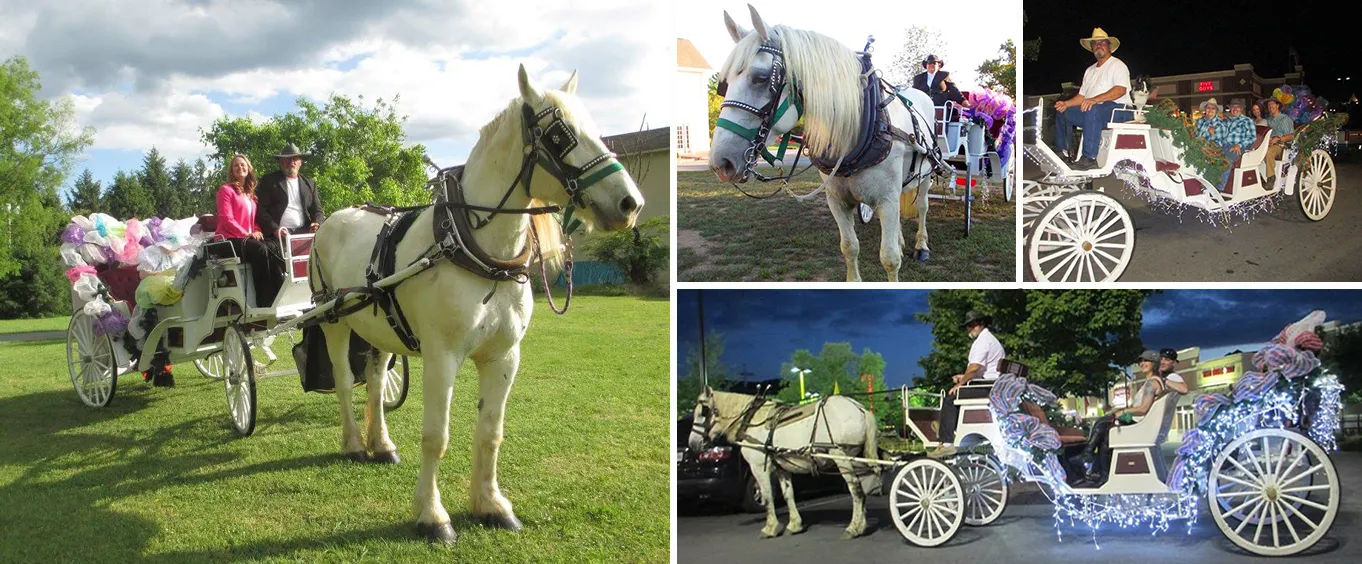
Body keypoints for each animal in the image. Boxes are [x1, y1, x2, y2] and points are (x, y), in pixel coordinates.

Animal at [309, 64, 642, 544]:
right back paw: (355, 444)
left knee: (372, 379)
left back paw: (381, 444)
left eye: (596, 127)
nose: (630, 203)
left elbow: (490, 433)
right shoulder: (441, 357)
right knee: (340, 377)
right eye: (560, 134)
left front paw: (491, 505)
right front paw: (433, 516)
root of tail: (332, 219)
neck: (473, 249)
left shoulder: (504, 357)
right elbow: (436, 436)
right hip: (332, 319)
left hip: (379, 325)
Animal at [691, 389, 882, 539]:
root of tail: (860, 408)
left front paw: (770, 528)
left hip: (840, 455)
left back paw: (853, 528)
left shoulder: (758, 467)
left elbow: (767, 496)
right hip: (855, 458)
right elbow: (788, 495)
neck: (750, 420)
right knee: (861, 489)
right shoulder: (782, 468)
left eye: (703, 411)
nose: (692, 444)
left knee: (856, 490)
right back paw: (861, 524)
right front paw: (794, 525)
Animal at [708, 5, 942, 282]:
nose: (720, 163)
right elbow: (849, 247)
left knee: (923, 207)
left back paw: (921, 245)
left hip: (925, 175)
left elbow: (889, 258)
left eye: (762, 77)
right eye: (725, 84)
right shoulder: (837, 200)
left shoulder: (886, 200)